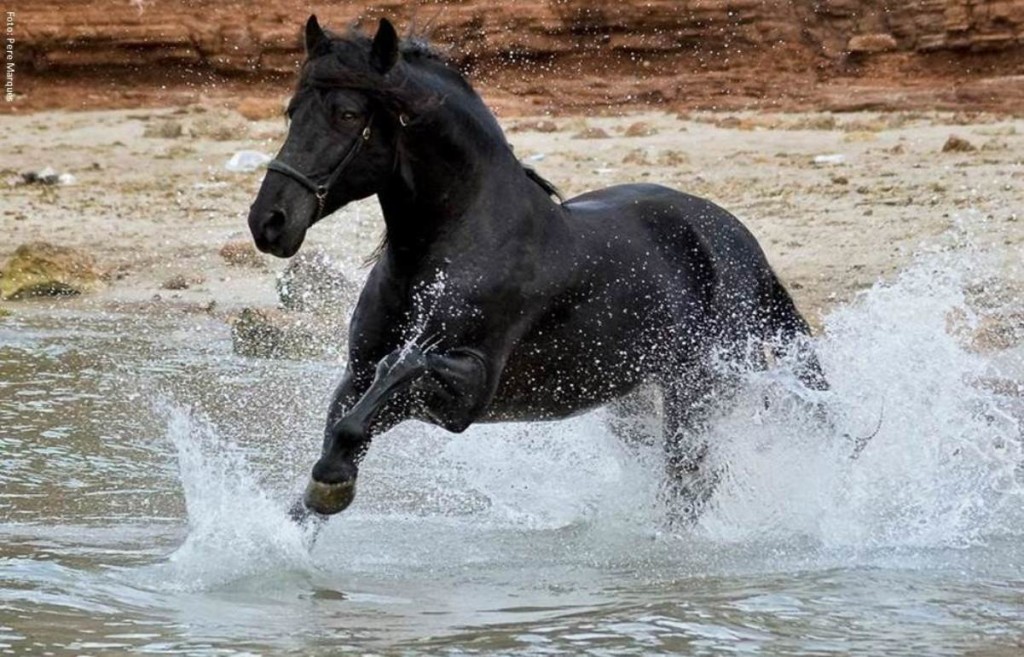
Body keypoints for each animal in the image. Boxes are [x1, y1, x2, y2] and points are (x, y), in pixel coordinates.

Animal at [249, 14, 831, 515]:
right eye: (293, 111)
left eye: (348, 114)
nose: (269, 222)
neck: (455, 245)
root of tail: (743, 245)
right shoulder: (359, 373)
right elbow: (345, 428)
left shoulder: (468, 391)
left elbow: (397, 372)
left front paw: (331, 483)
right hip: (633, 399)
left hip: (698, 393)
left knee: (687, 486)